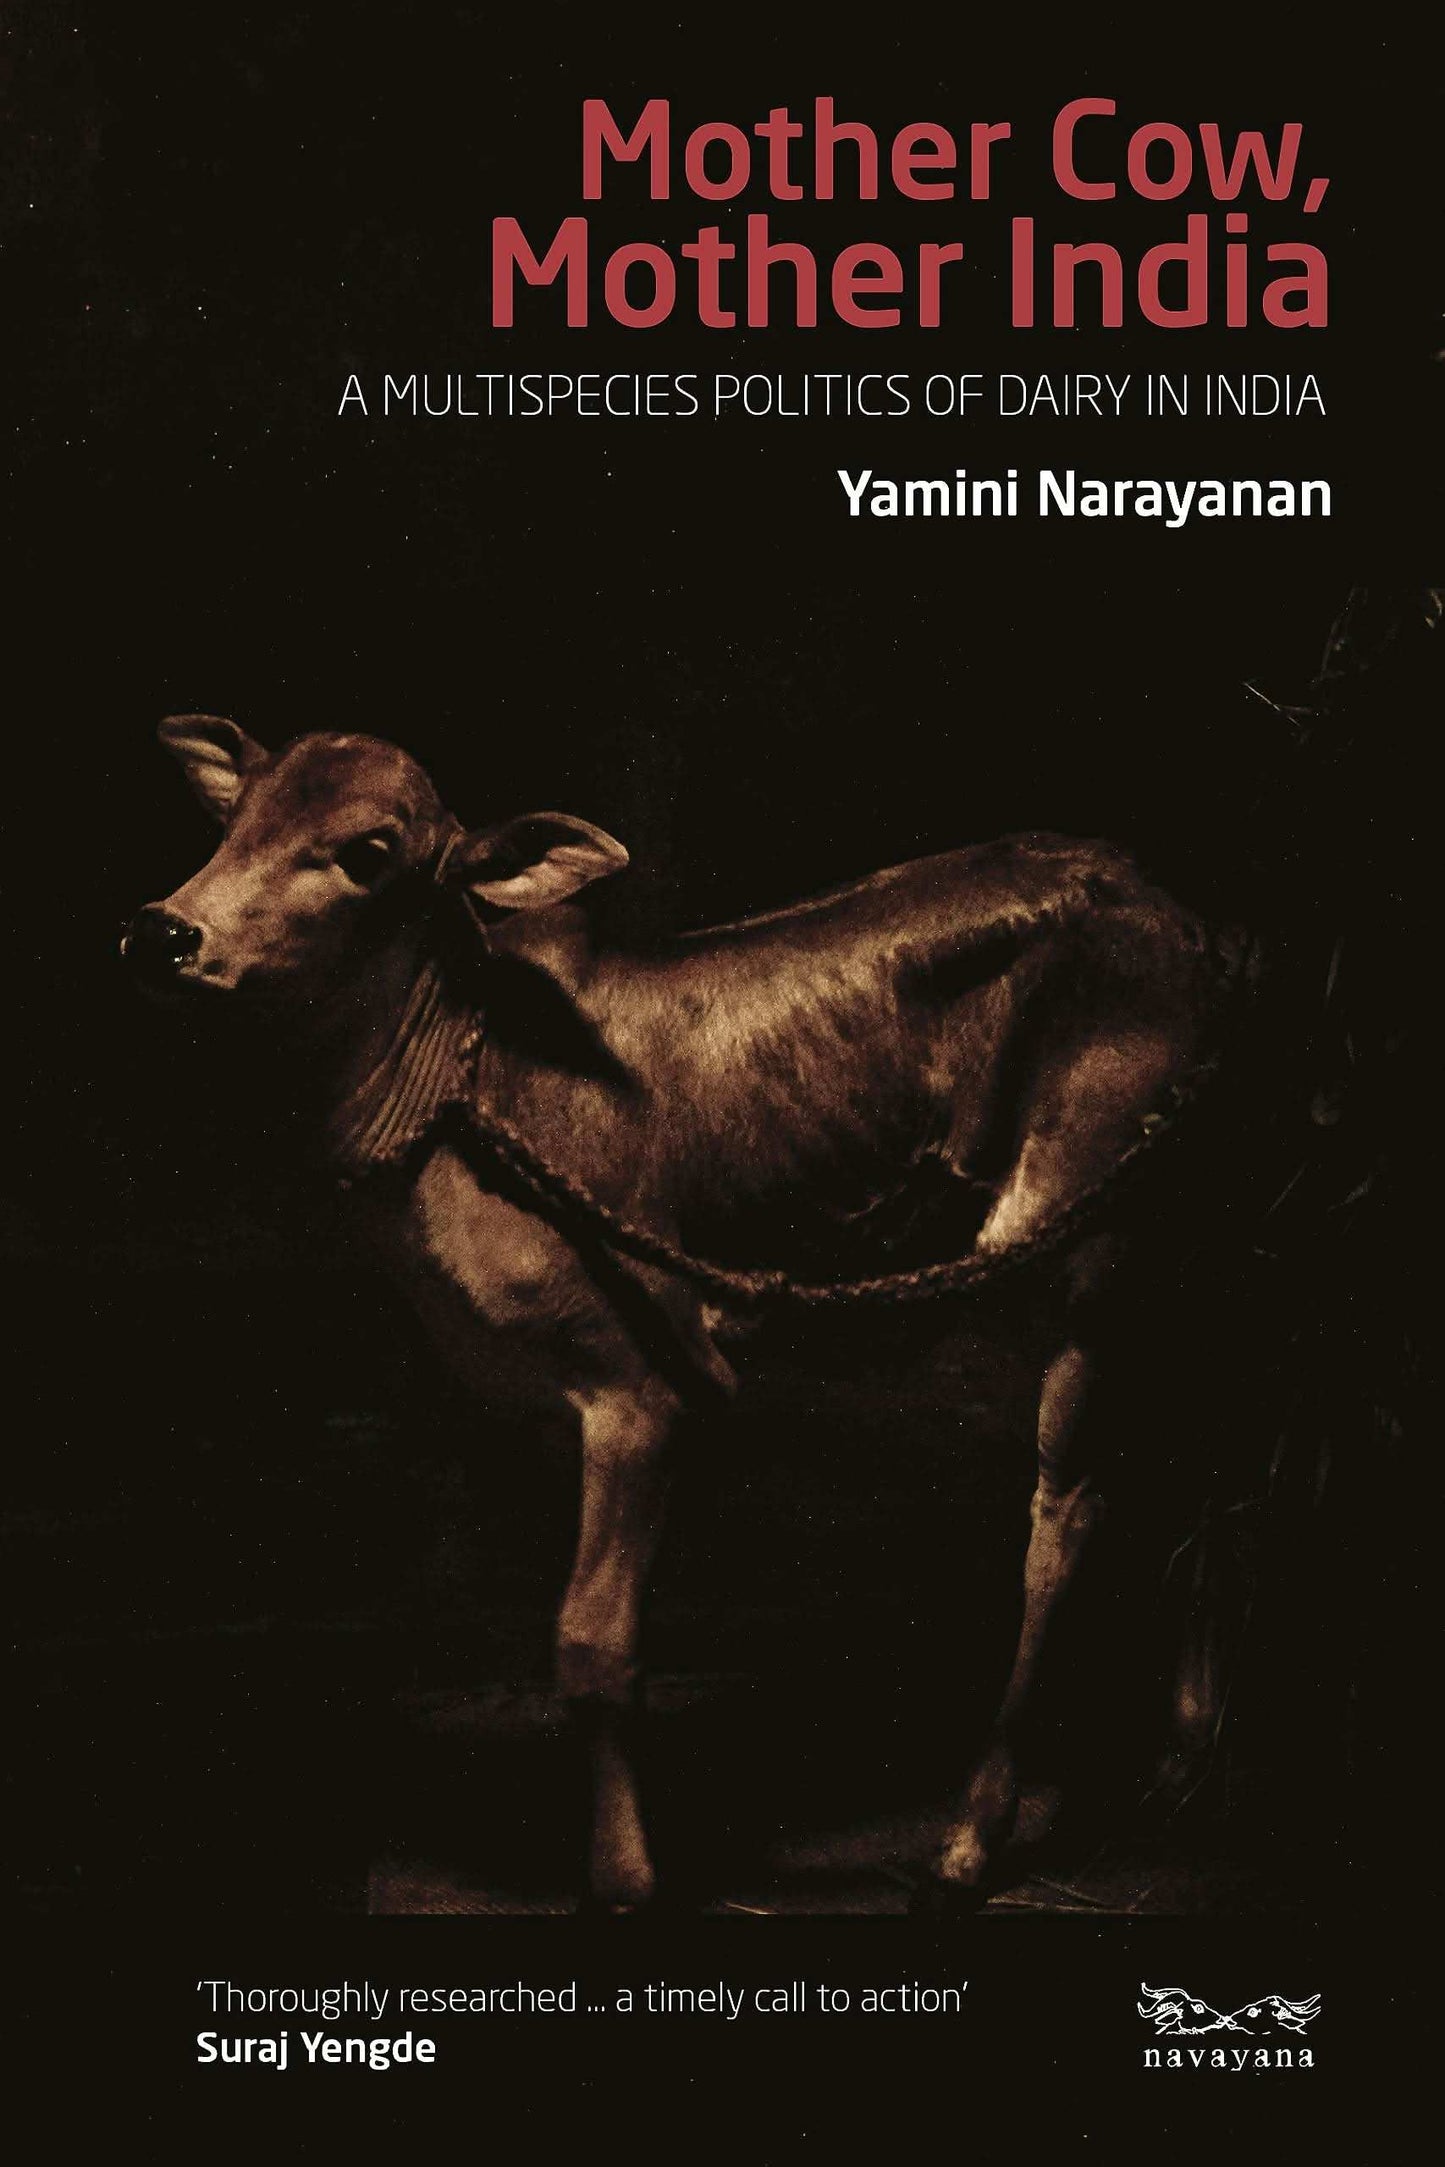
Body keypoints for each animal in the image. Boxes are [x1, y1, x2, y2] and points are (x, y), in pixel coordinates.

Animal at [123, 714, 1233, 1912]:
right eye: (236, 815)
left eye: (369, 851)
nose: (164, 930)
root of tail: (1165, 906)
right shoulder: (507, 1391)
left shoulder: (642, 1381)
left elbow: (591, 1639)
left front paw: (622, 1875)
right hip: (1150, 1261)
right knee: (1199, 1451)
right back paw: (1183, 1748)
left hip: (1087, 1254)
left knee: (1067, 1513)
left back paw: (969, 1838)